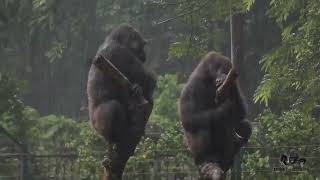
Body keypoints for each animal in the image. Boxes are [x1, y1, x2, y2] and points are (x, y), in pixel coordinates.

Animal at [86, 23, 156, 179]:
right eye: (141, 45)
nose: (144, 57)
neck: (114, 39)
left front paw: (140, 92)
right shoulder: (121, 52)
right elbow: (147, 78)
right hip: (97, 125)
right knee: (112, 107)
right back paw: (114, 138)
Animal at [179, 51, 251, 179]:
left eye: (226, 70)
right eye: (219, 68)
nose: (222, 75)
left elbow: (240, 114)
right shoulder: (193, 85)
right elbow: (188, 118)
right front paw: (225, 108)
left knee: (243, 125)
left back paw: (227, 158)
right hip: (195, 154)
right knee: (203, 127)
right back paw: (205, 158)